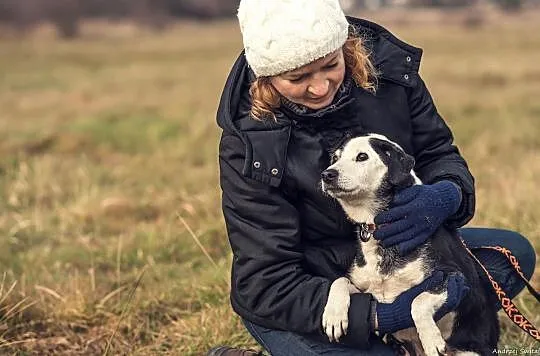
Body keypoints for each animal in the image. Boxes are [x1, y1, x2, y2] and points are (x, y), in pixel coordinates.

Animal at [318, 134, 500, 356]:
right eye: (335, 158)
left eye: (362, 156)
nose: (327, 174)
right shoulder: (365, 289)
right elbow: (339, 281)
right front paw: (333, 316)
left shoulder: (453, 278)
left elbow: (416, 301)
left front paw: (431, 339)